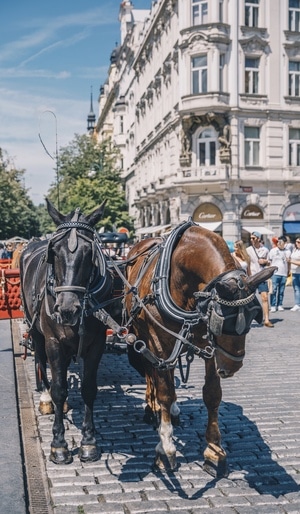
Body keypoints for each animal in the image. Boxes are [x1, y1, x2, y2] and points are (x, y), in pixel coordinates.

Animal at [19, 198, 113, 462]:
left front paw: (89, 442)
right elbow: (59, 388)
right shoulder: (53, 342)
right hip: (36, 330)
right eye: (54, 252)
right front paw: (59, 445)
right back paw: (46, 398)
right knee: (41, 361)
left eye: (90, 252)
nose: (68, 308)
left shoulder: (96, 344)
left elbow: (89, 389)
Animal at [125, 218, 276, 474]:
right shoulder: (158, 341)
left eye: (253, 316)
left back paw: (173, 410)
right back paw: (151, 407)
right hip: (142, 334)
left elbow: (212, 394)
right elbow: (164, 391)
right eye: (221, 321)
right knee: (151, 373)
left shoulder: (209, 347)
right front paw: (166, 448)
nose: (232, 367)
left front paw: (214, 451)